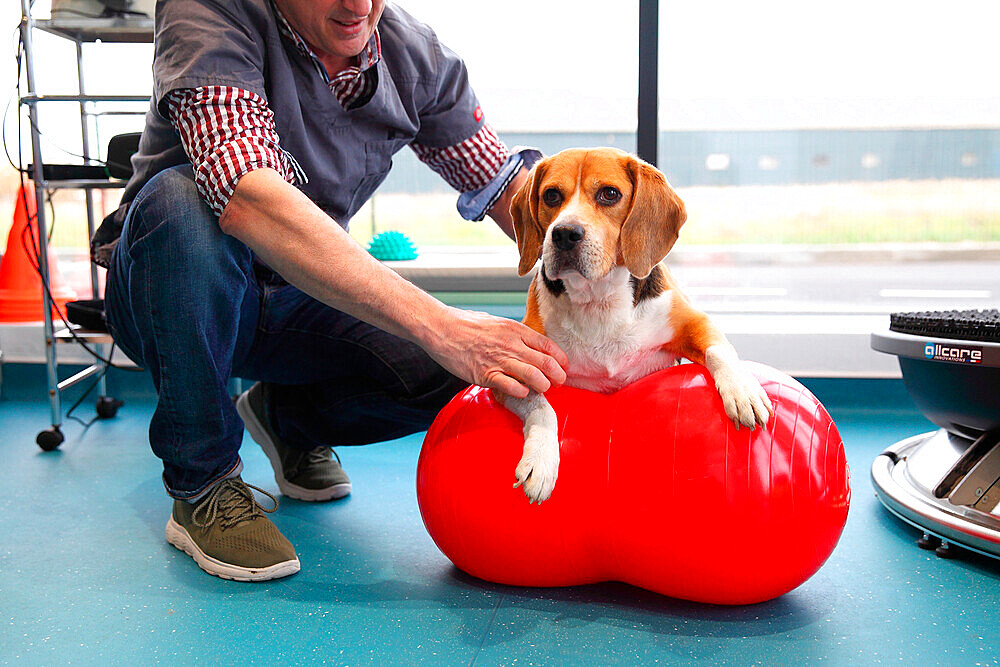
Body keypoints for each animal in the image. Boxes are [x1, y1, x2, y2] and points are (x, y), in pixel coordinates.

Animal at [500, 146, 772, 500]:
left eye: (609, 194)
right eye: (551, 195)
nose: (564, 234)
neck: (598, 298)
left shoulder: (692, 322)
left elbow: (720, 351)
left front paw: (742, 390)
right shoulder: (516, 369)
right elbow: (542, 408)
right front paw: (540, 461)